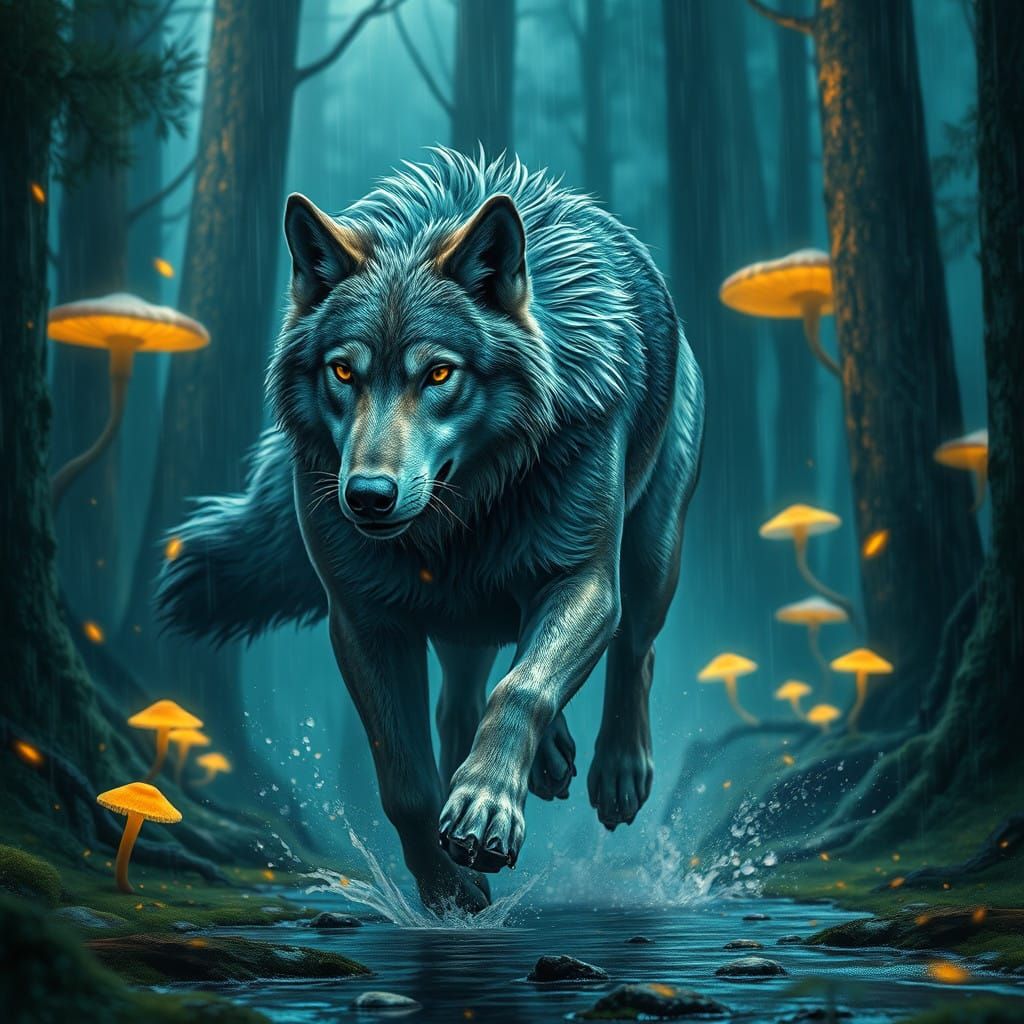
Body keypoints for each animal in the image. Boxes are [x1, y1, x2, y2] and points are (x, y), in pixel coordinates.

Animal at [157, 149, 703, 912]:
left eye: (440, 373)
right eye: (343, 371)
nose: (367, 496)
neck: (461, 519)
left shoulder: (586, 582)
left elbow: (523, 688)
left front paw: (485, 808)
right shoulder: (364, 619)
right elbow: (406, 779)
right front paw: (449, 886)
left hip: (651, 554)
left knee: (633, 652)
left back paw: (615, 772)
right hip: (456, 620)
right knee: (458, 704)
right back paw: (544, 763)